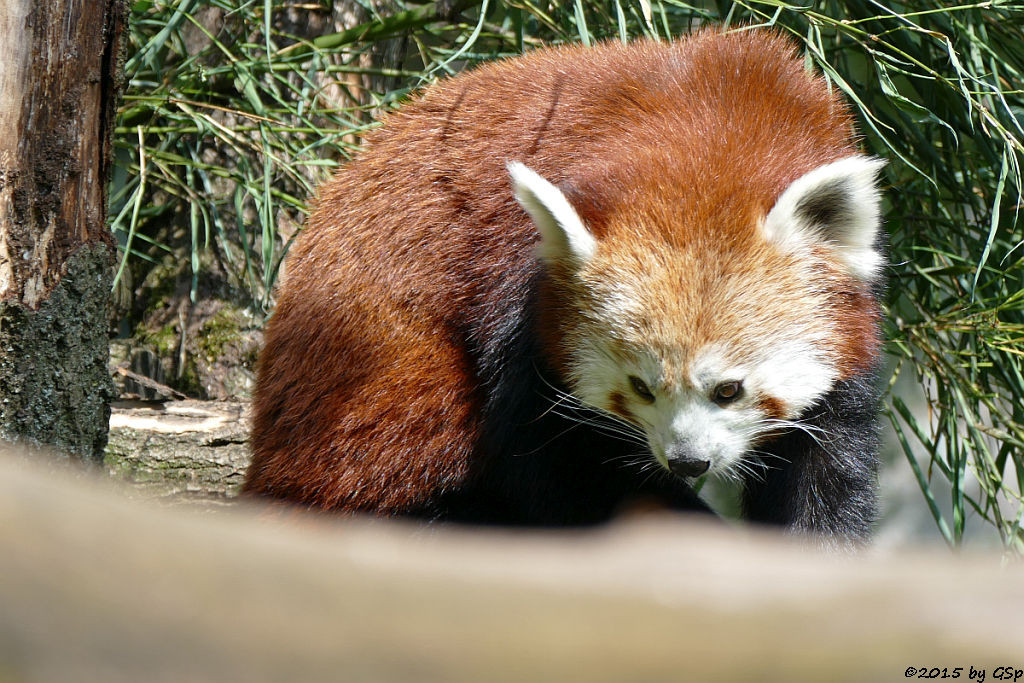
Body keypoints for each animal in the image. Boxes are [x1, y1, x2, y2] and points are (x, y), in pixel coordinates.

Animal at [241, 30, 888, 544]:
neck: (713, 127)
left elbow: (828, 460)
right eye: (640, 387)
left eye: (729, 390)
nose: (686, 462)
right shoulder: (516, 297)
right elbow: (547, 462)